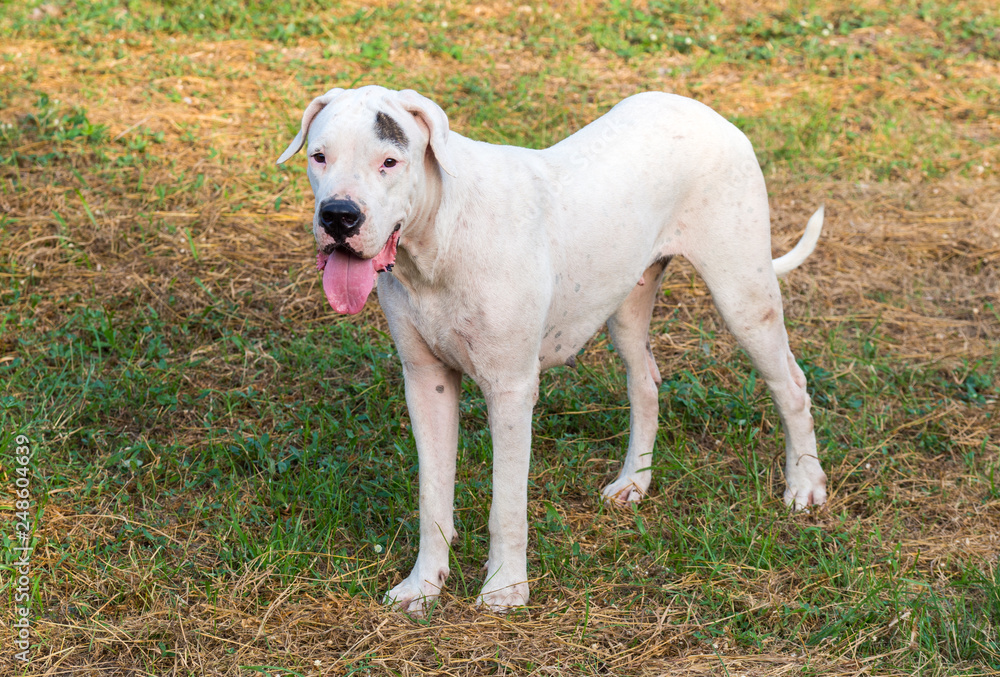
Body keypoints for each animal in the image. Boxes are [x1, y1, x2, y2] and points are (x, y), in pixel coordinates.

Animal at [276, 86, 828, 612]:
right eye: (320, 157)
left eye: (390, 162)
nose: (339, 216)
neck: (440, 239)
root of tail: (708, 111)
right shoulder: (426, 383)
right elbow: (432, 496)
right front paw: (424, 585)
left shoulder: (511, 391)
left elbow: (506, 505)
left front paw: (504, 589)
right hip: (626, 305)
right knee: (645, 383)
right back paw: (635, 481)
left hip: (744, 297)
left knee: (792, 387)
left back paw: (804, 485)